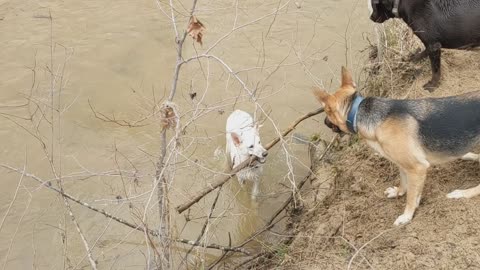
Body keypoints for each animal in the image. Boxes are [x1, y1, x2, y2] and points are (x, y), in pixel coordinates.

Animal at [314, 66, 480, 225]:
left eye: (327, 112)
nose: (324, 122)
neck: (358, 114)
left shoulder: (417, 168)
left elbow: (411, 197)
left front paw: (407, 216)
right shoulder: (403, 165)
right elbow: (404, 183)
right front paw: (399, 192)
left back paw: (462, 193)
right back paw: (468, 156)